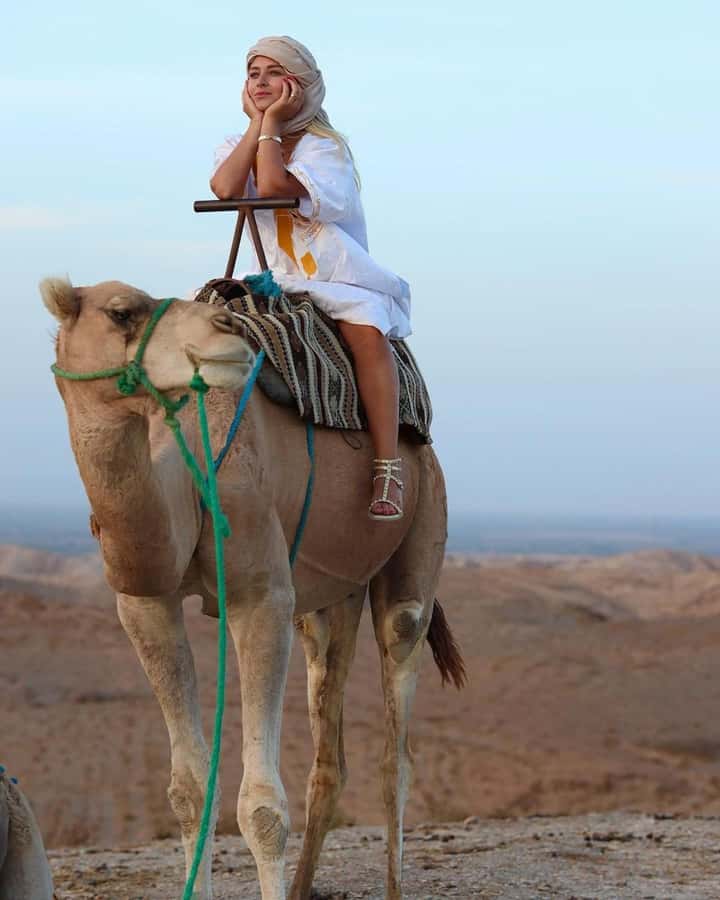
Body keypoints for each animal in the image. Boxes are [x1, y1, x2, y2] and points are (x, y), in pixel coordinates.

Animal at [41, 276, 464, 900]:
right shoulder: (146, 604)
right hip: (331, 596)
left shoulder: (260, 596)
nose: (225, 332)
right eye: (121, 312)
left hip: (425, 513)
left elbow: (262, 809)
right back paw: (305, 884)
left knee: (398, 739)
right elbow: (189, 790)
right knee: (329, 741)